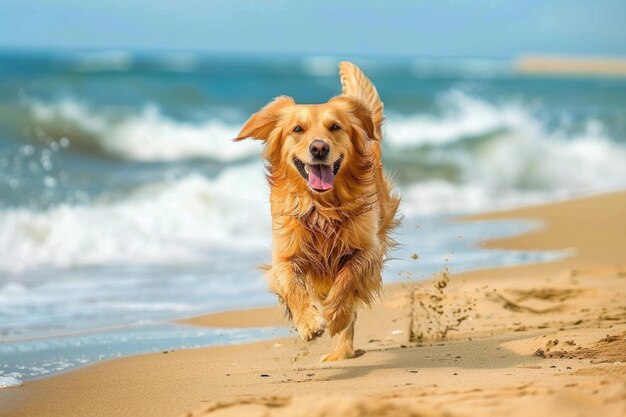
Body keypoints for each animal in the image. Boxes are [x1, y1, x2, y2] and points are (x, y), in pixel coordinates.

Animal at [234, 61, 400, 360]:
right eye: (297, 129)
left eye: (335, 127)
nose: (319, 148)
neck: (321, 208)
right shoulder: (284, 255)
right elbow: (291, 284)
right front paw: (309, 322)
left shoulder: (369, 250)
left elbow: (347, 278)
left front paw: (334, 315)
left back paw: (341, 349)